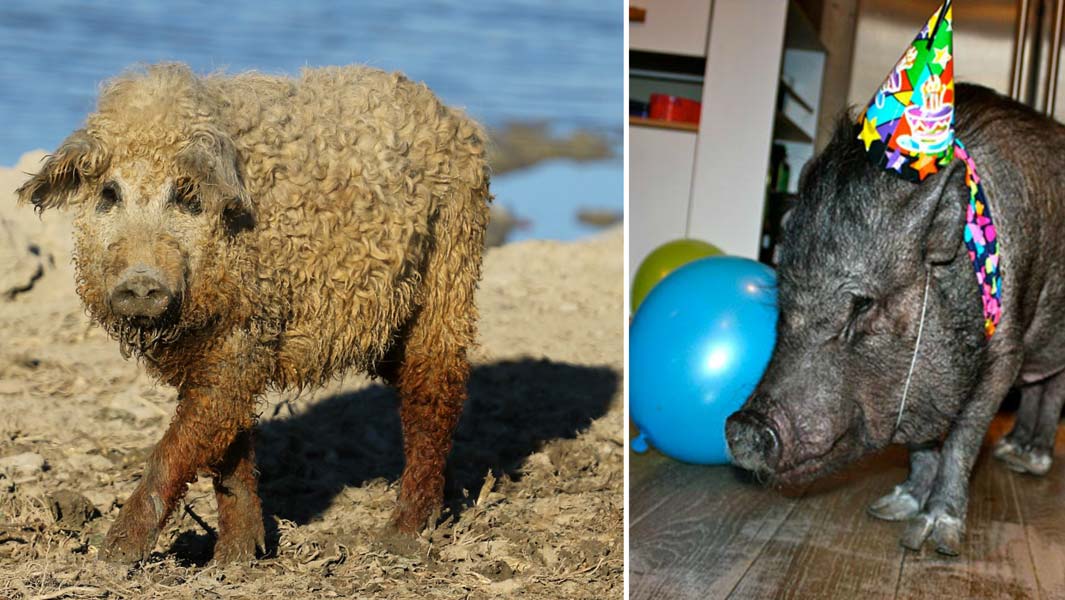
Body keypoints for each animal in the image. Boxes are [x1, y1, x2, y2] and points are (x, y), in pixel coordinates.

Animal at [16, 63, 490, 563]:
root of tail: (457, 118)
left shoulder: (247, 336)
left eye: (186, 197)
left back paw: (400, 536)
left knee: (435, 390)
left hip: (451, 269)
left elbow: (179, 444)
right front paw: (235, 559)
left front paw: (114, 554)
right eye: (110, 193)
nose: (141, 282)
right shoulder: (217, 349)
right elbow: (229, 444)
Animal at [726, 83, 1065, 556]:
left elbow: (962, 437)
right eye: (783, 296)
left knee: (1053, 389)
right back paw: (1011, 453)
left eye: (862, 305)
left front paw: (935, 538)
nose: (743, 427)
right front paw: (890, 508)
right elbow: (921, 444)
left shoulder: (1006, 352)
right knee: (1040, 384)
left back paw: (1029, 462)